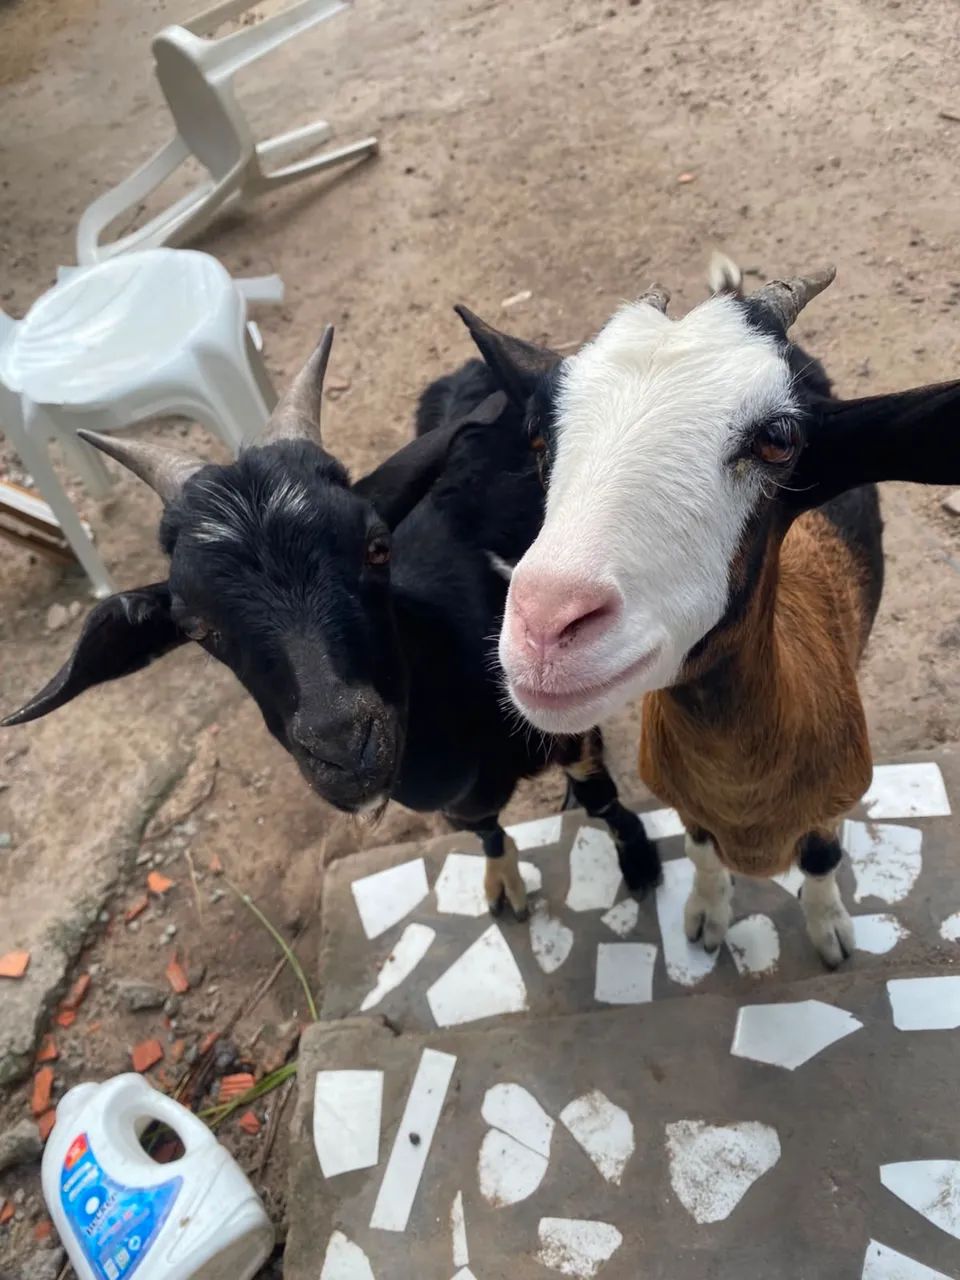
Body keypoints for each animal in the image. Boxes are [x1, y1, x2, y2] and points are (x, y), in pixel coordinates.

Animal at [3, 331, 662, 918]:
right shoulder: (457, 803)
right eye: (193, 625)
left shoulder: (563, 719)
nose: (347, 751)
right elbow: (481, 827)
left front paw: (639, 863)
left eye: (377, 547)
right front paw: (502, 882)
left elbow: (600, 795)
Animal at [455, 259, 960, 966]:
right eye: (536, 436)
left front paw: (829, 931)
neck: (743, 801)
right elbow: (700, 853)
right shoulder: (687, 808)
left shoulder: (832, 806)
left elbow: (823, 859)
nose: (547, 625)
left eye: (778, 440)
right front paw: (706, 917)